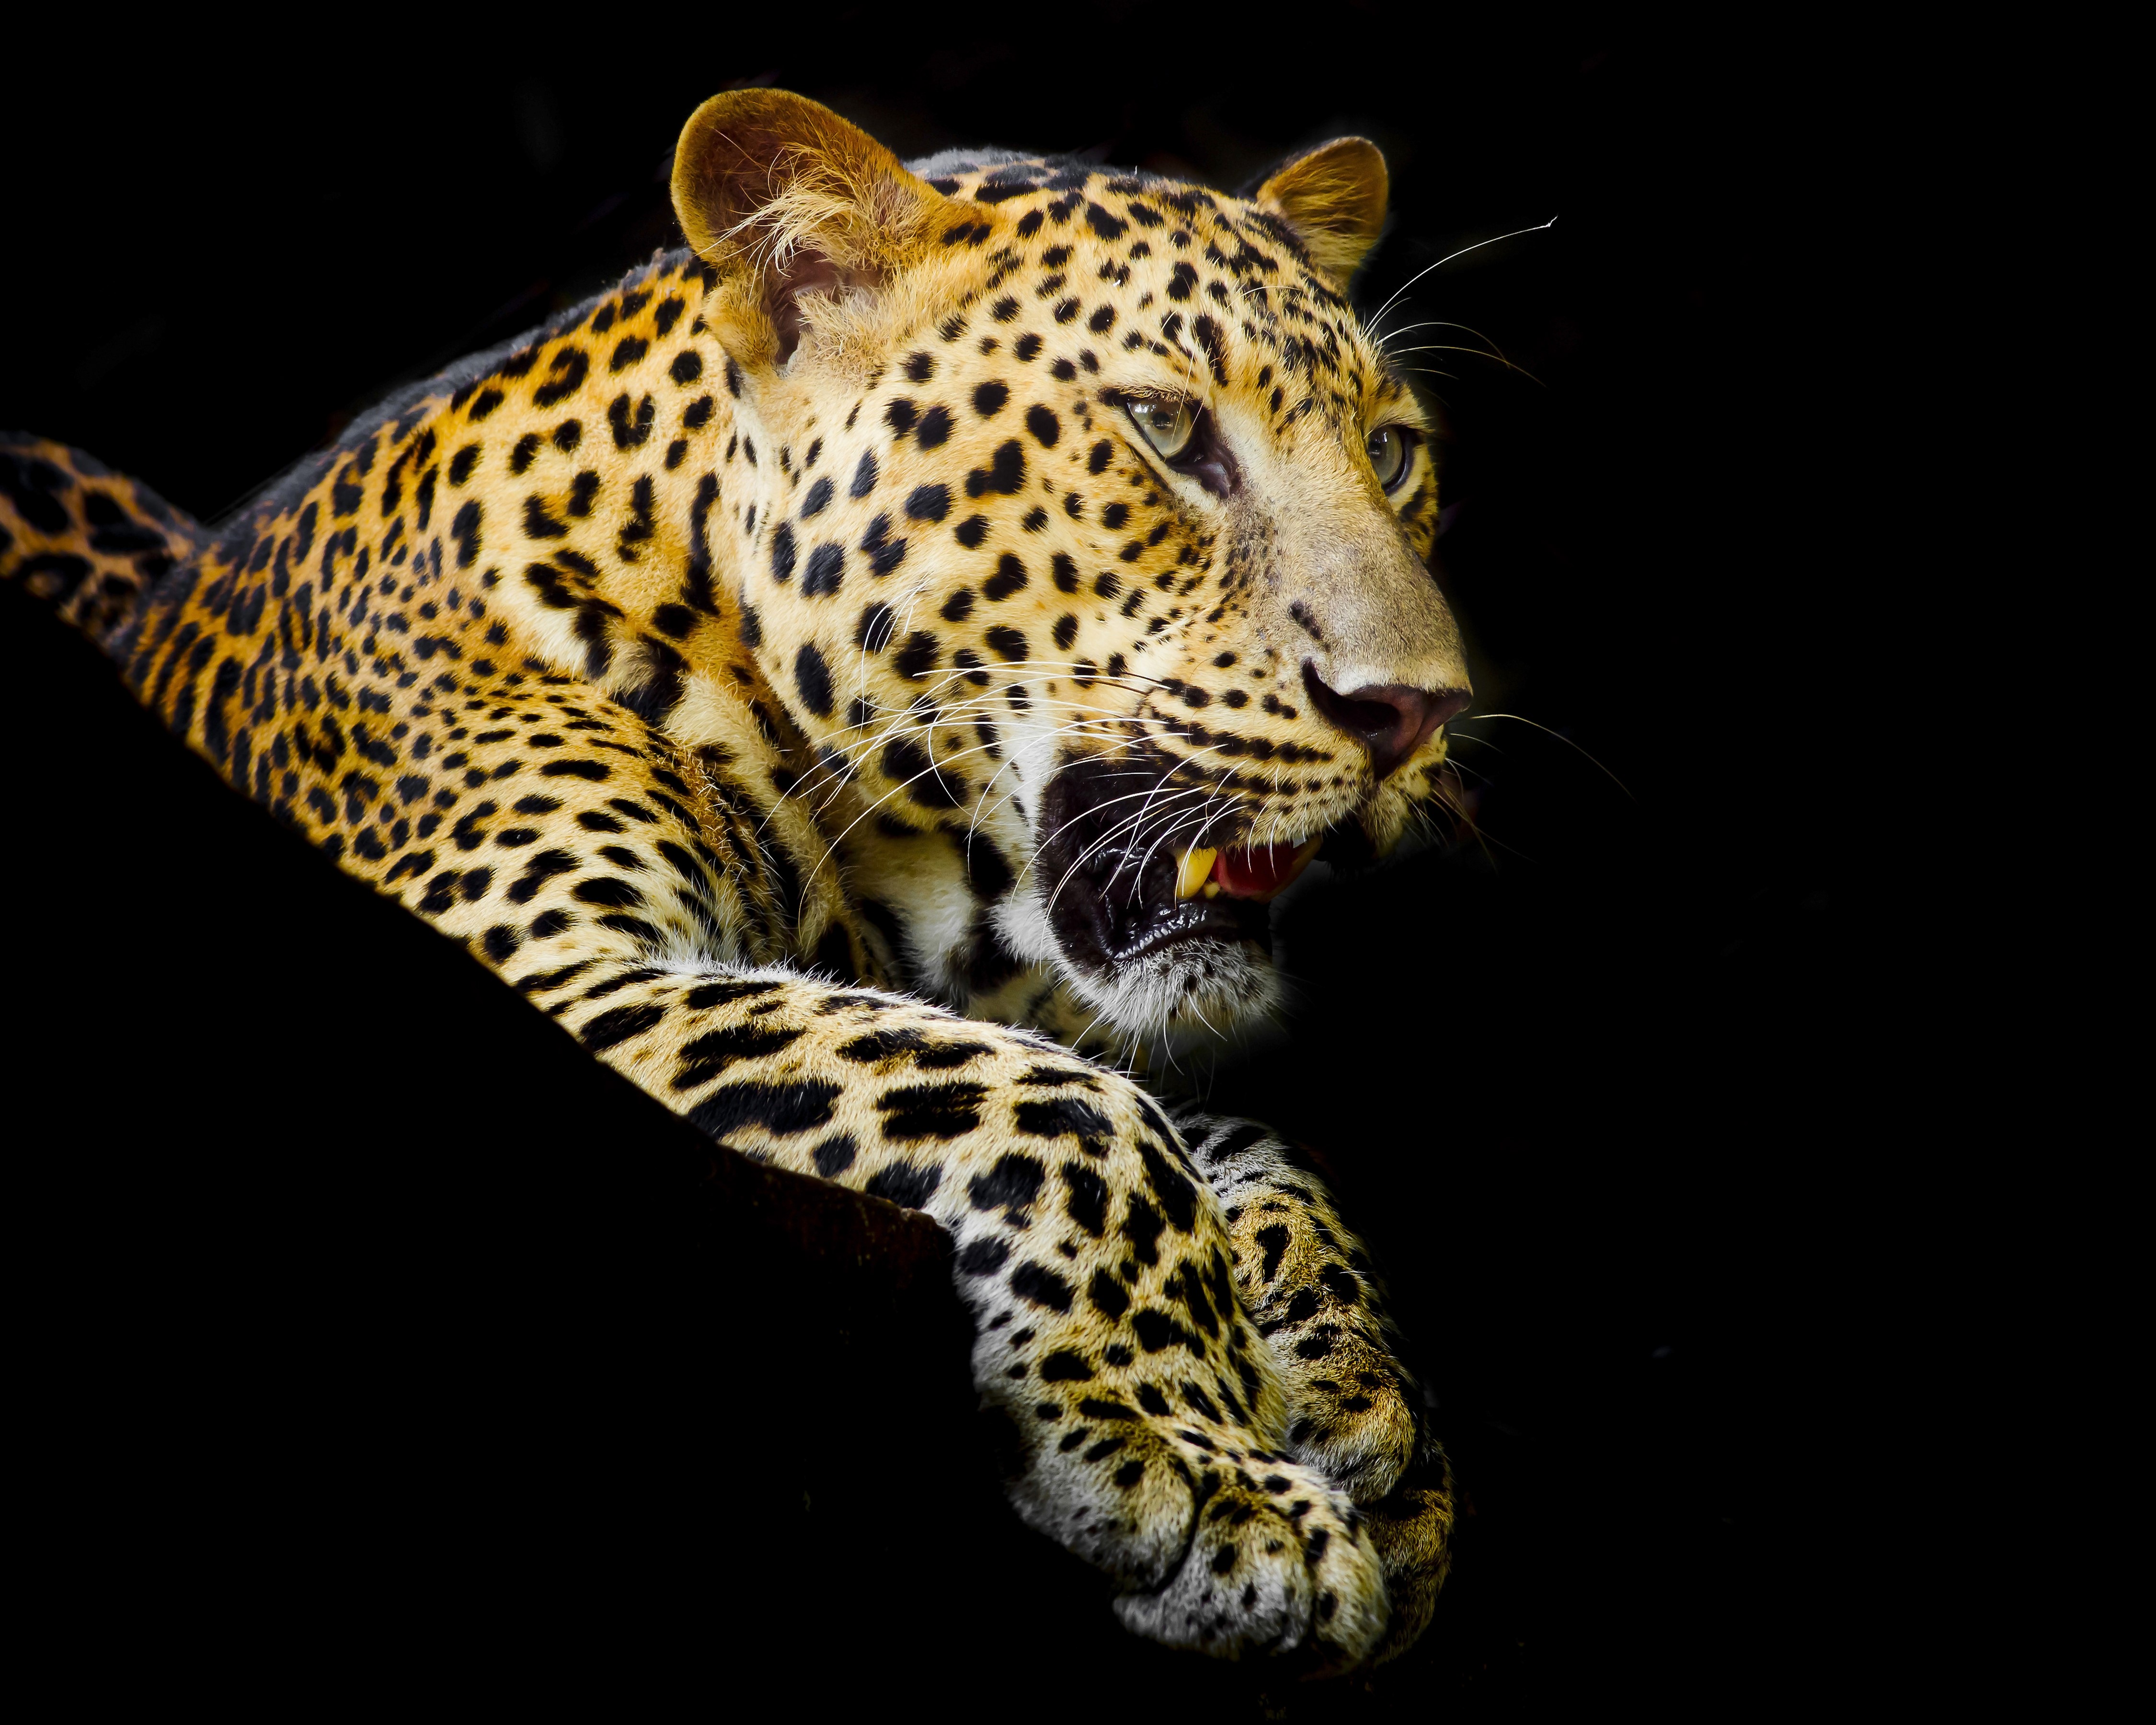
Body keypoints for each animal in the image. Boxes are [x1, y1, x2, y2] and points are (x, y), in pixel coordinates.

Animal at [1, 89, 1473, 1669]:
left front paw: (1354, 1392)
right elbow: (1067, 1104)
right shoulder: (530, 962)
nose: (1415, 712)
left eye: (1391, 452)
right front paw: (1212, 1474)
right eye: (1164, 427)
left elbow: (1237, 1134)